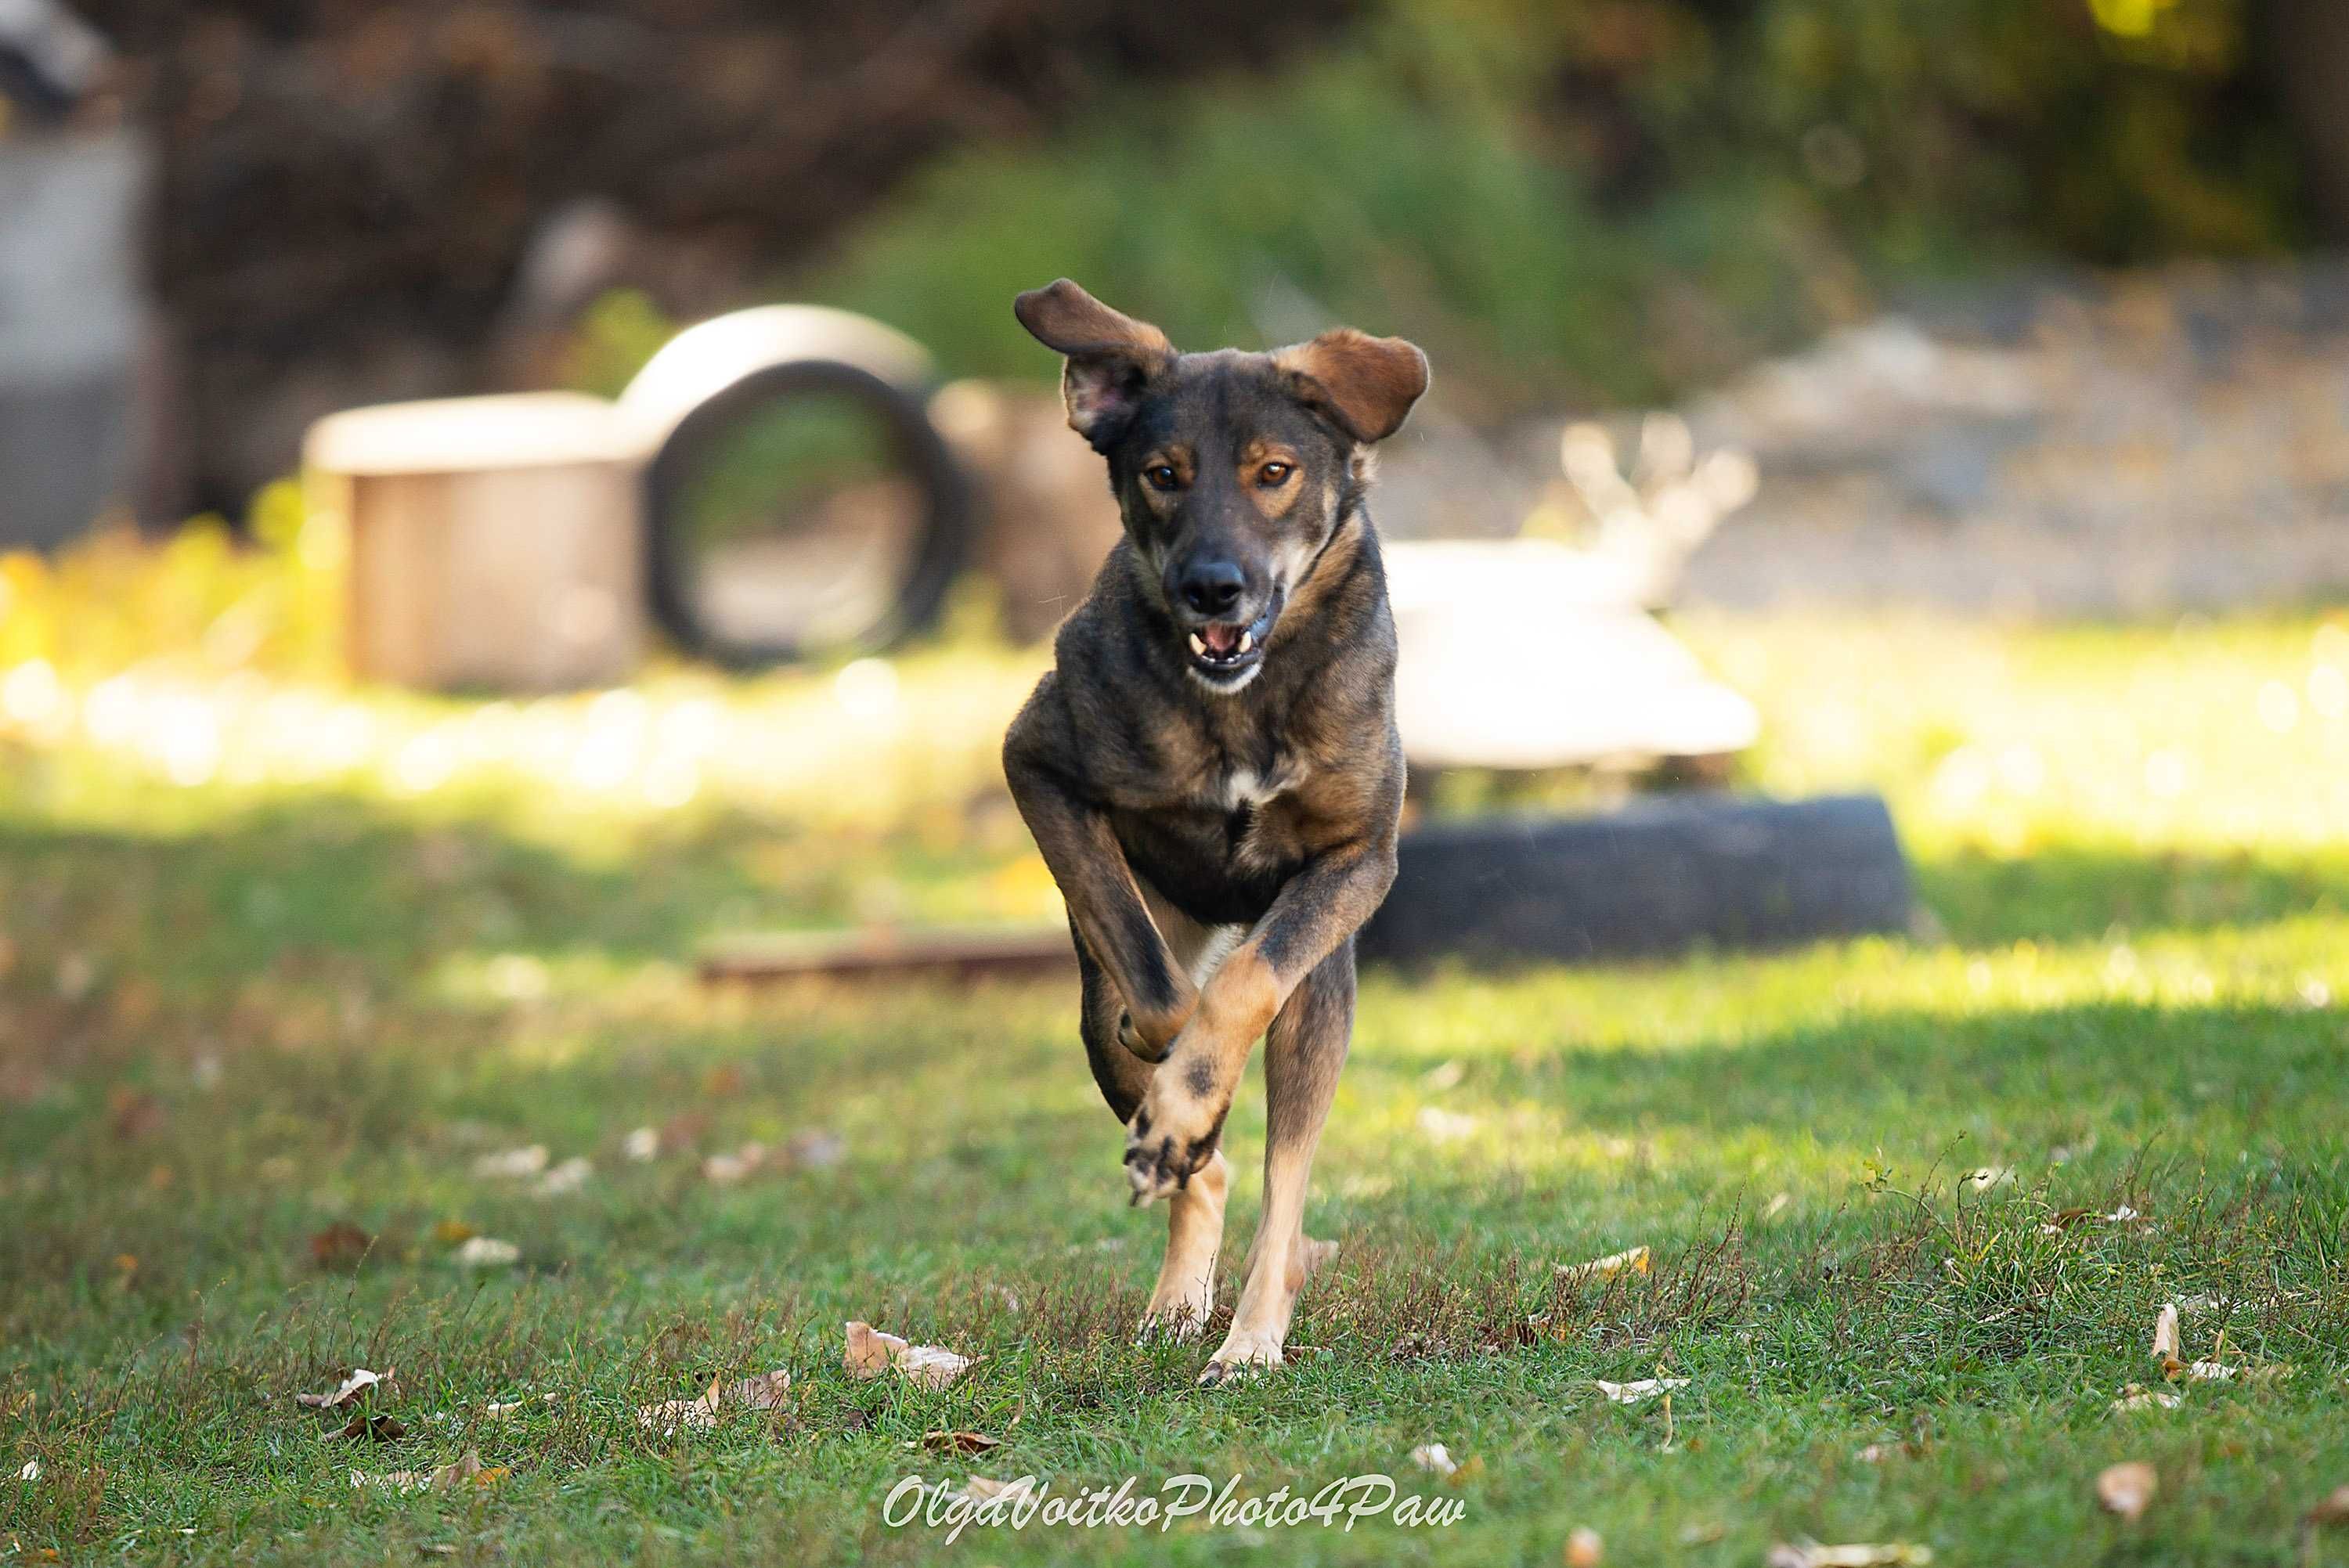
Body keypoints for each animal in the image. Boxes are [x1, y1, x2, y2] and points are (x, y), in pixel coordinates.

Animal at [996, 281, 1419, 1380]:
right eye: (1163, 475)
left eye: (1274, 472)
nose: (1213, 587)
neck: (1243, 699)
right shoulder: (1039, 764)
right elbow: (1156, 991)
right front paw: (1177, 1092)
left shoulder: (1358, 858)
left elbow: (1245, 984)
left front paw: (1194, 1088)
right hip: (1089, 1003)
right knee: (1206, 1158)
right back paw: (1180, 1273)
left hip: (1326, 1003)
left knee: (1283, 1185)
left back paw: (1250, 1334)